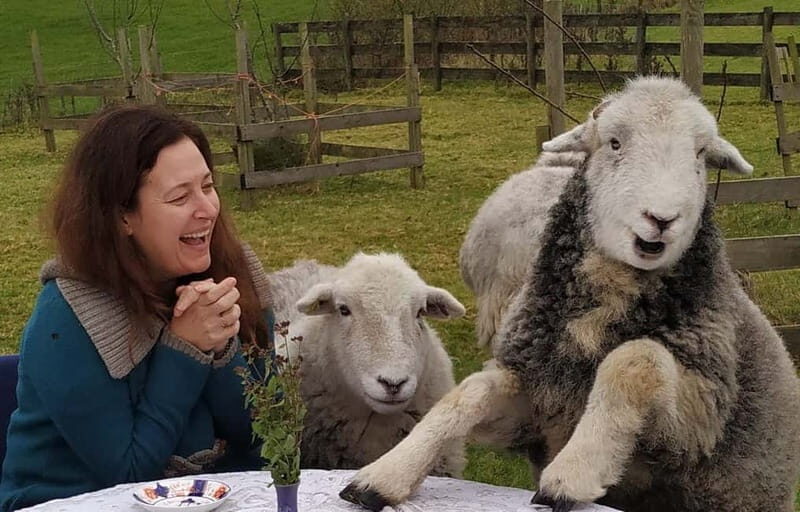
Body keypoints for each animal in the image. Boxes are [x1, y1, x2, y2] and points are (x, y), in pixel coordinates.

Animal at [340, 77, 800, 512]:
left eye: (701, 154)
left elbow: (634, 358)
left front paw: (572, 472)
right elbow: (467, 394)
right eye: (614, 142)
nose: (662, 220)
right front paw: (387, 471)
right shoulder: (533, 403)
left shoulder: (700, 418)